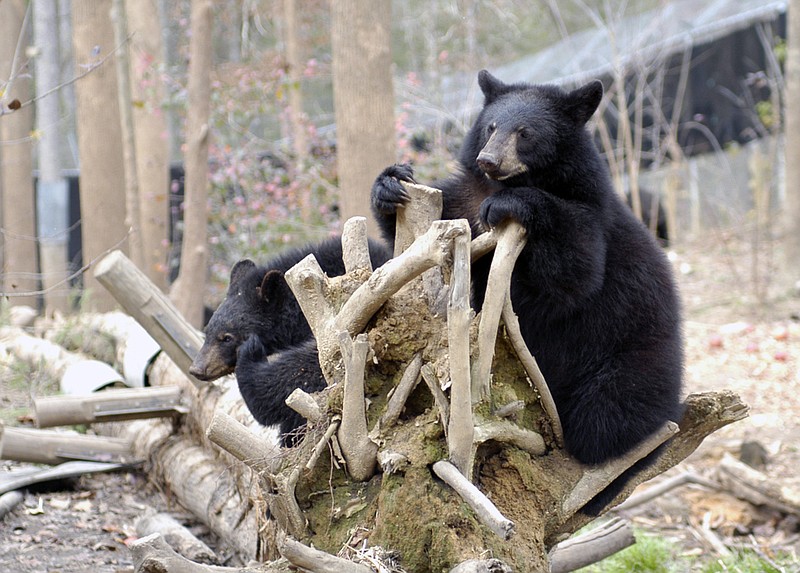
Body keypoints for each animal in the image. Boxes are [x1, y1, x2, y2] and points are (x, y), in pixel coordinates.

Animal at [372, 69, 684, 512]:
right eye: (490, 126)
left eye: (525, 133)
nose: (489, 160)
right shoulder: (463, 202)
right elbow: (427, 227)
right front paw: (391, 183)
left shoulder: (589, 212)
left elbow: (576, 271)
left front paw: (513, 204)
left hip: (634, 360)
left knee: (609, 416)